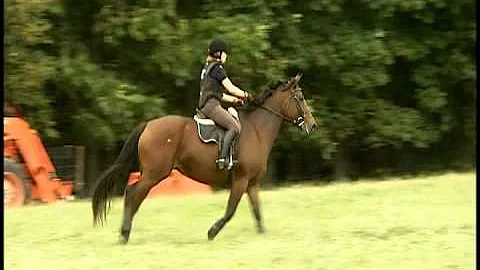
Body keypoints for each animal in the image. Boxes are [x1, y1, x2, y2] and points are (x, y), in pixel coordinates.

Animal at [93, 74, 318, 243]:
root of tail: (148, 125)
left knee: (134, 195)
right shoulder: (241, 180)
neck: (257, 131)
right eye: (300, 98)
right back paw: (124, 234)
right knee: (132, 194)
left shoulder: (252, 183)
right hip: (154, 174)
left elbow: (257, 211)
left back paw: (125, 232)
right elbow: (230, 210)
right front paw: (212, 232)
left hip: (152, 174)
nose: (312, 124)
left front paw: (263, 236)